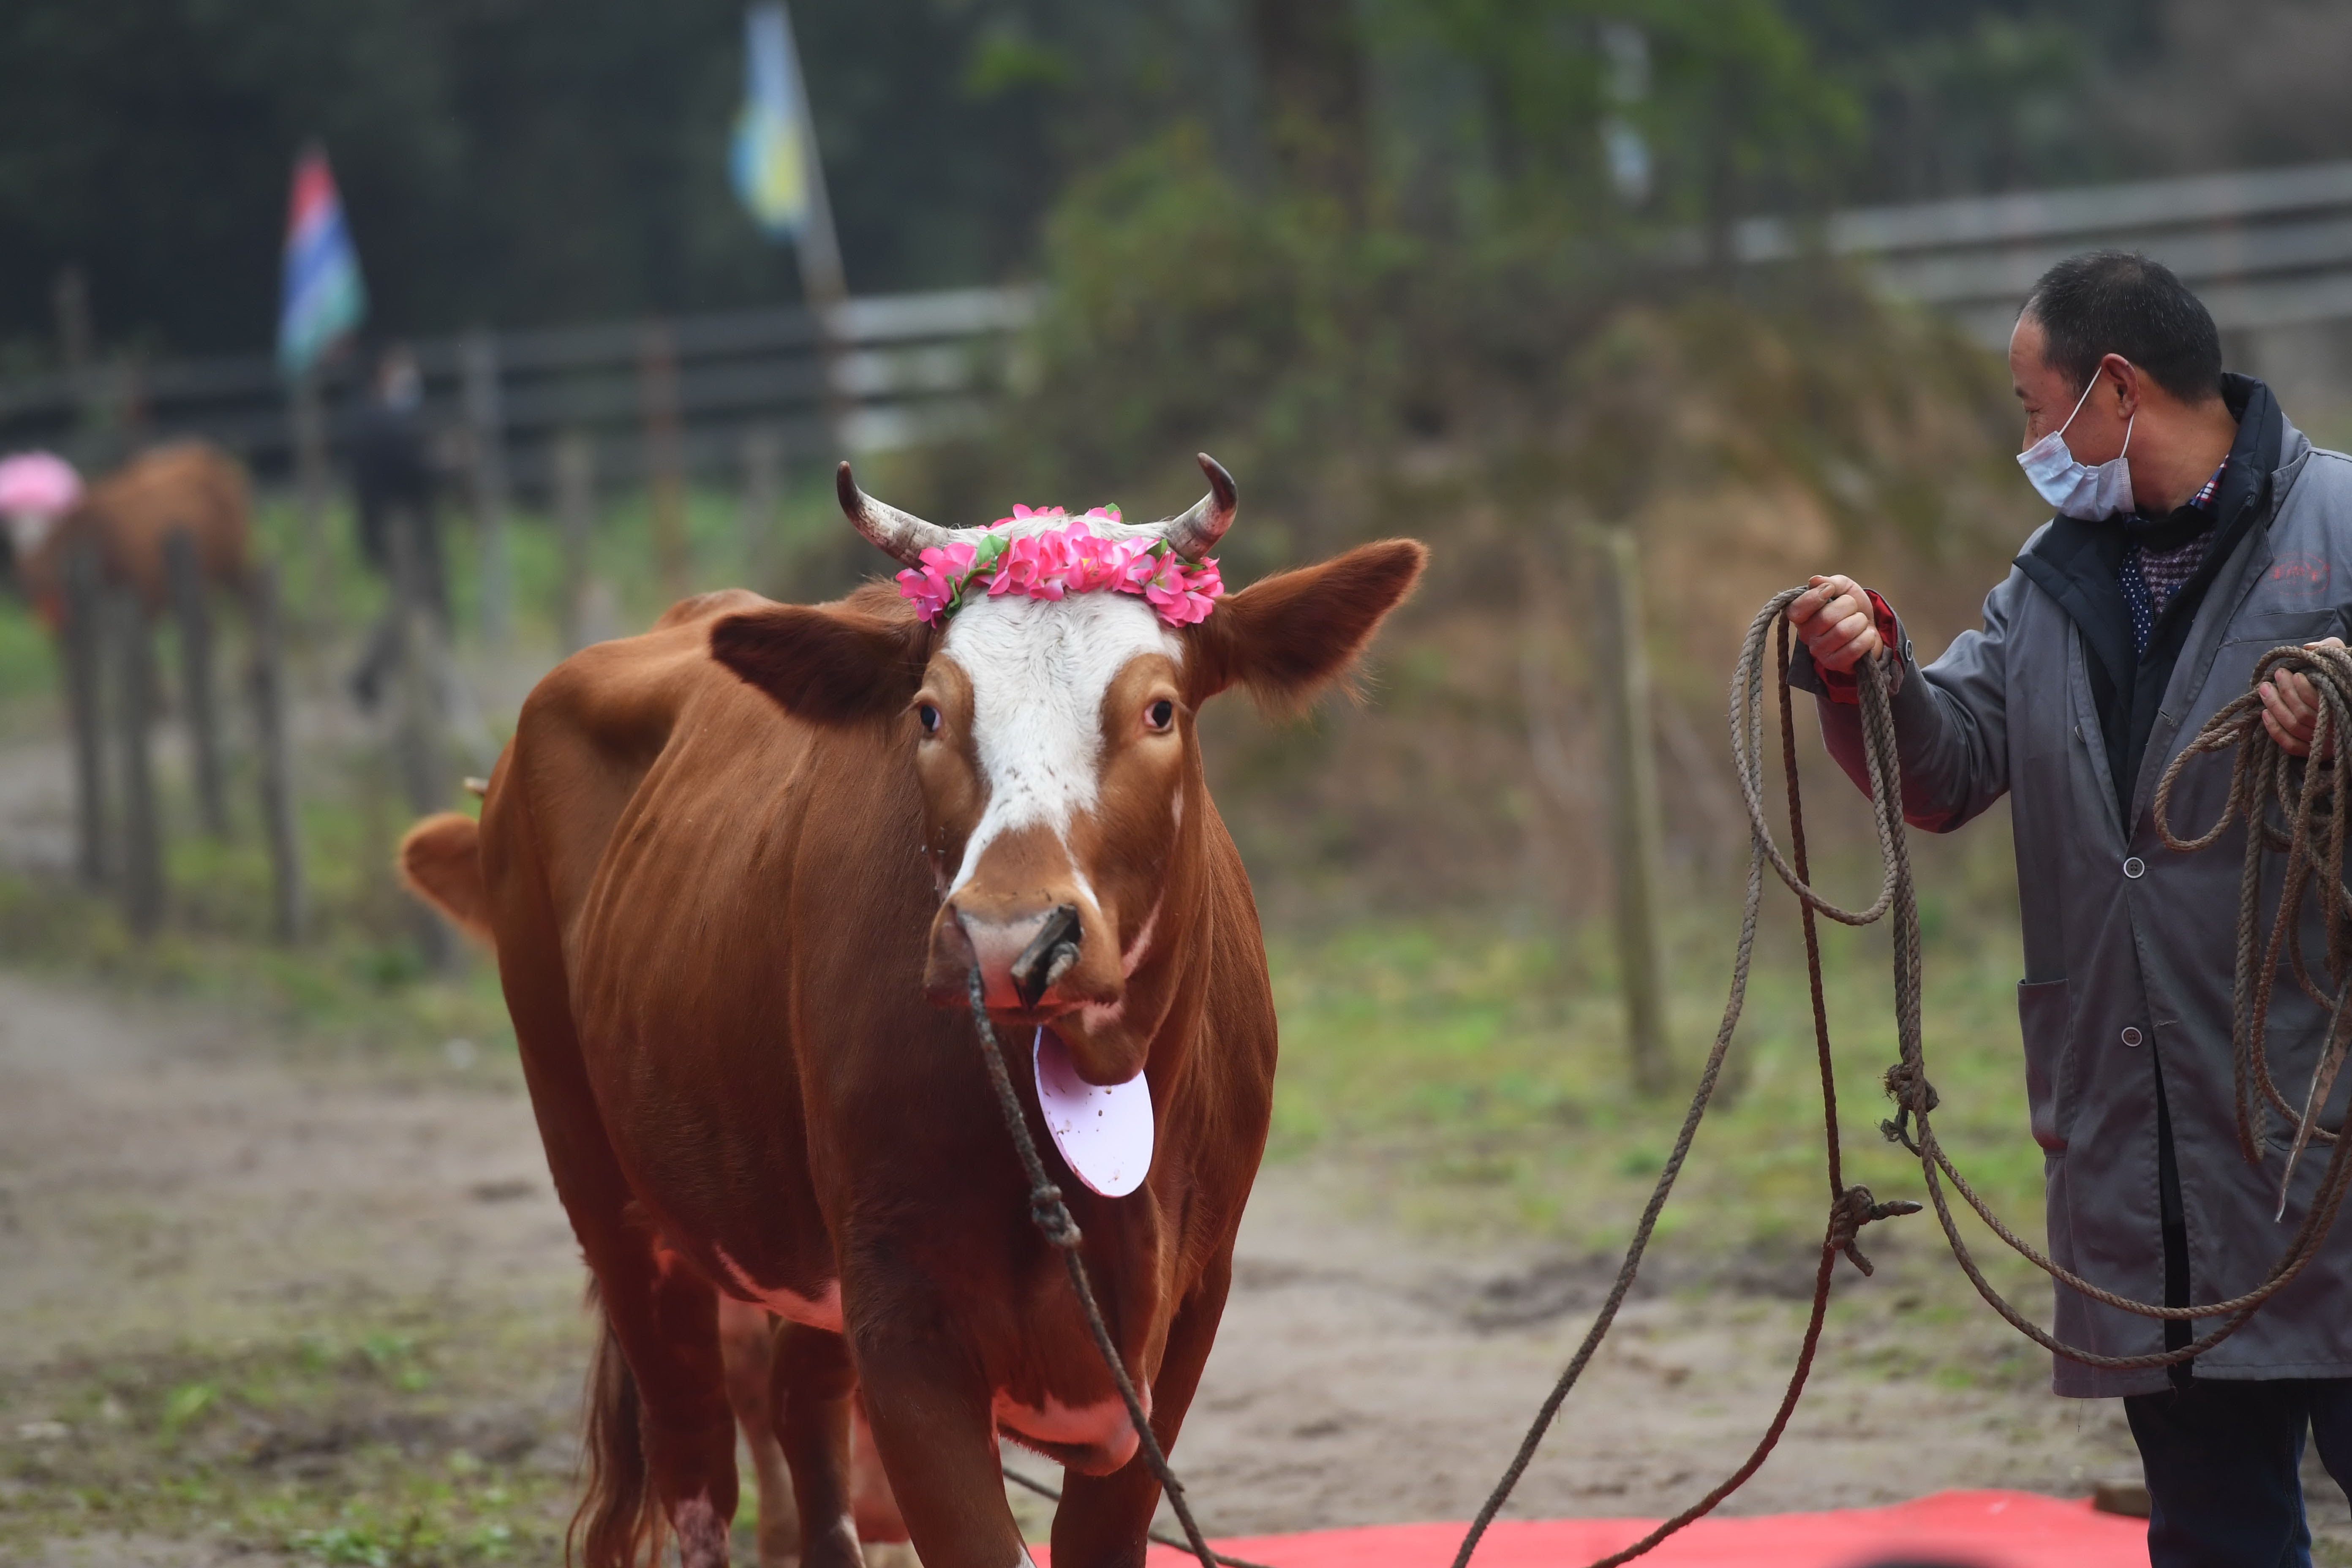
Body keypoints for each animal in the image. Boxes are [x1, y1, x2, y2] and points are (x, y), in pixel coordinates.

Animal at [400, 460, 1411, 1568]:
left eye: (1159, 711)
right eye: (928, 713)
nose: (1009, 940)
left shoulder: (1187, 1315)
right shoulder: (903, 1319)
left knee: (798, 1409)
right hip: (610, 1196)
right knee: (697, 1462)